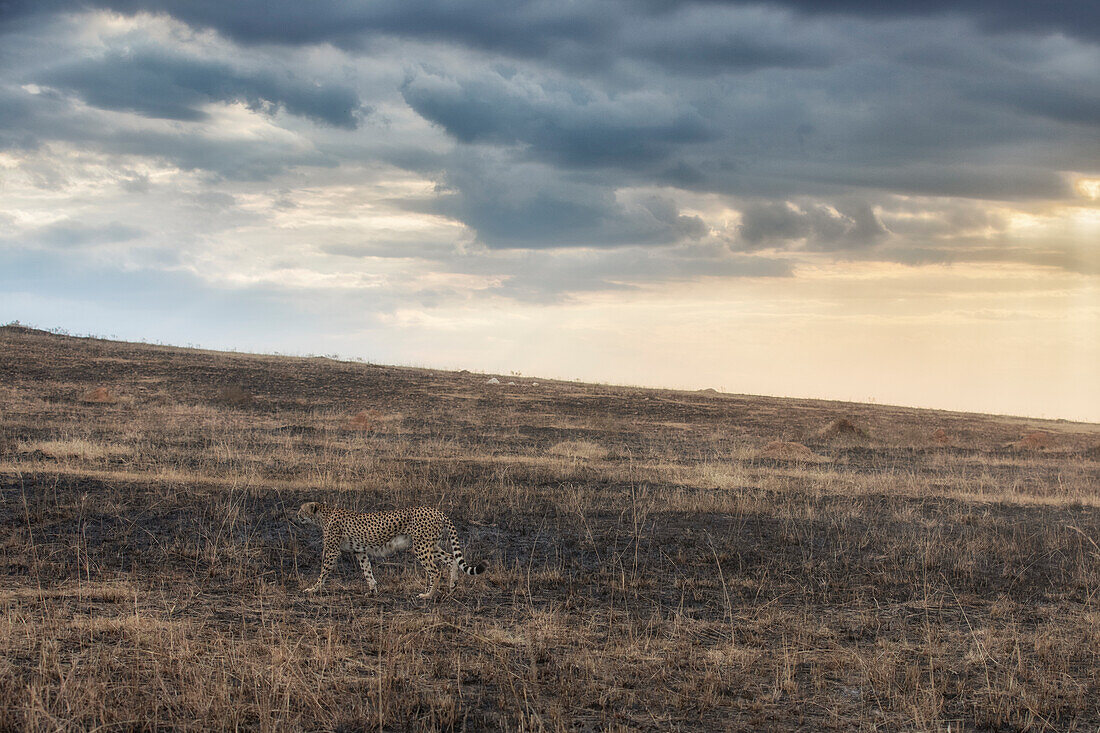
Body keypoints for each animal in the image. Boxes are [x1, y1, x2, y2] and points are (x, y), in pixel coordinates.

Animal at [294, 499, 484, 598]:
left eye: (301, 510)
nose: (296, 516)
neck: (323, 515)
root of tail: (437, 511)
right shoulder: (360, 551)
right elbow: (367, 571)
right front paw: (372, 590)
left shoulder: (332, 551)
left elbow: (323, 571)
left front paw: (313, 589)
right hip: (430, 545)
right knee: (452, 559)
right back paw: (452, 586)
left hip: (421, 547)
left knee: (435, 571)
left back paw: (428, 595)